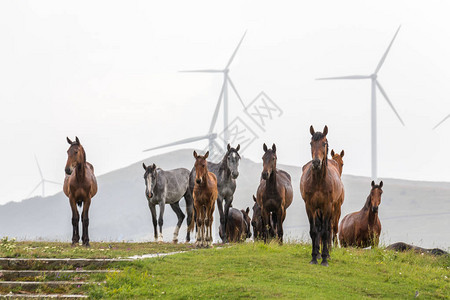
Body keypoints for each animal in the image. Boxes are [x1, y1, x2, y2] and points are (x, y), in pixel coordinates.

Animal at [302, 125, 344, 266]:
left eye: (324, 143)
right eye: (311, 143)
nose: (316, 163)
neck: (319, 181)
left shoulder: (327, 206)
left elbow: (326, 232)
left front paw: (325, 258)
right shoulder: (310, 207)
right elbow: (314, 231)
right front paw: (314, 257)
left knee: (328, 229)